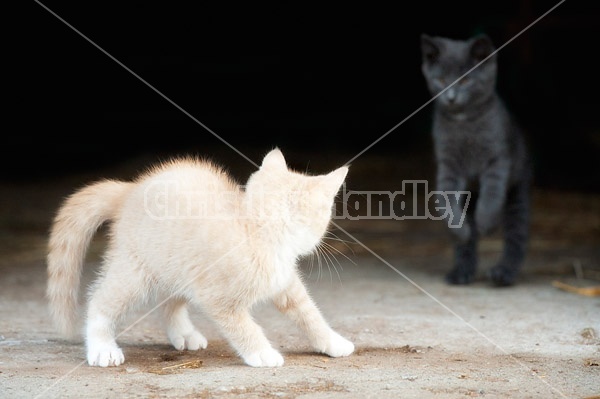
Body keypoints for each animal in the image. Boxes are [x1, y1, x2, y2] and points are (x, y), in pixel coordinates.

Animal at [50, 149, 356, 368]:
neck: (256, 231)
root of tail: (130, 189)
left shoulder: (285, 284)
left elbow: (309, 313)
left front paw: (332, 341)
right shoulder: (218, 299)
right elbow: (243, 326)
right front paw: (261, 352)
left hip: (178, 265)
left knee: (168, 301)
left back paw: (183, 334)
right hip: (136, 271)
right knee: (101, 300)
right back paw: (102, 347)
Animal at [420, 33, 532, 284]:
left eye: (464, 81)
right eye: (441, 80)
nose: (451, 98)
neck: (464, 123)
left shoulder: (498, 160)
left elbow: (492, 192)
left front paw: (486, 222)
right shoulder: (448, 165)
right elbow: (444, 199)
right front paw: (457, 229)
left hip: (518, 191)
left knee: (516, 234)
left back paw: (503, 274)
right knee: (467, 244)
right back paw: (461, 273)